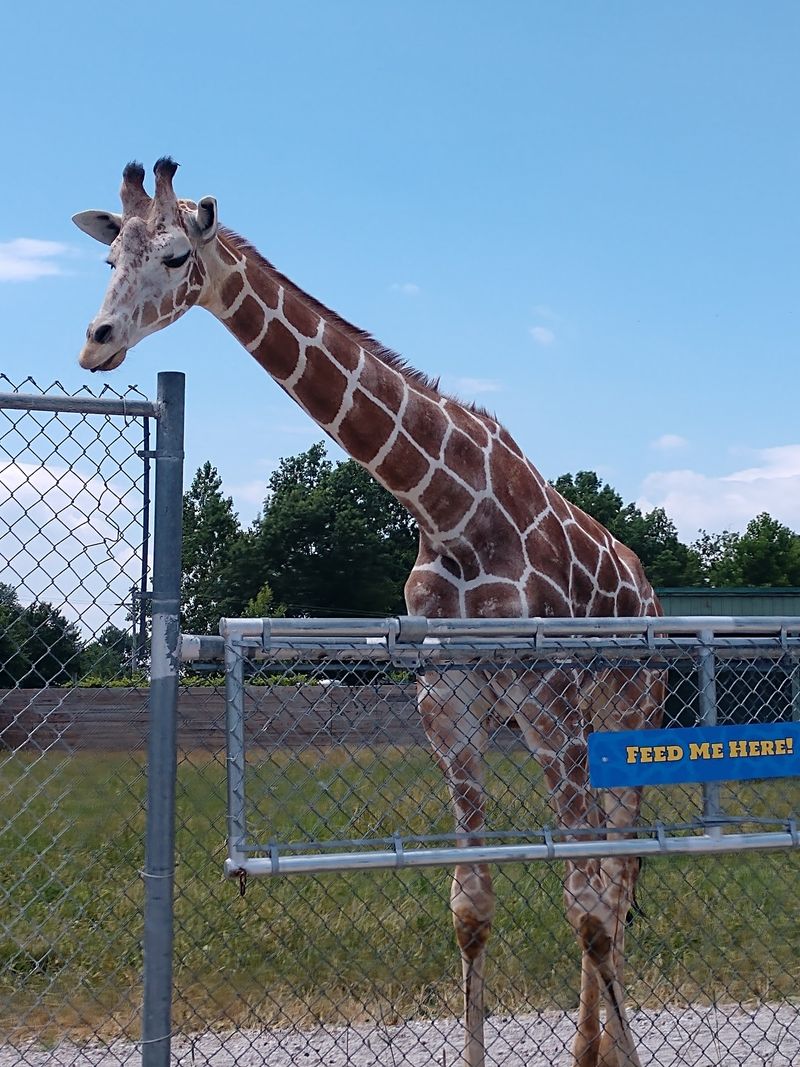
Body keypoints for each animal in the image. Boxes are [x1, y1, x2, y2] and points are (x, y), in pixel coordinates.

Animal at [73, 158, 664, 1067]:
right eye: (110, 259)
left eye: (175, 255)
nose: (95, 340)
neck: (448, 507)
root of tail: (650, 588)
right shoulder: (449, 705)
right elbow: (472, 902)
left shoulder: (548, 701)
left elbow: (588, 905)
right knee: (608, 872)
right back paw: (585, 1044)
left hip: (627, 713)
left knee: (618, 876)